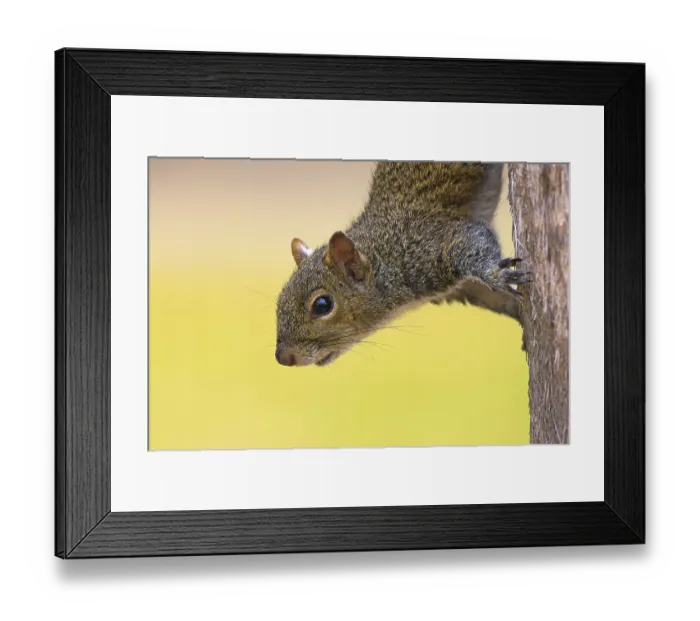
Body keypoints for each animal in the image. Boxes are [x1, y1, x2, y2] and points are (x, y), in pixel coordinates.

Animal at [275, 162, 530, 367]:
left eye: (322, 305)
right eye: (279, 302)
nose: (284, 358)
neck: (385, 256)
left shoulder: (429, 246)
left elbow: (471, 242)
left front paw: (497, 274)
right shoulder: (466, 287)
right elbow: (493, 297)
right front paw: (518, 311)